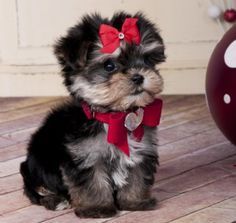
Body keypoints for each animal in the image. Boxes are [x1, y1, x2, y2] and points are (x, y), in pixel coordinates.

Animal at [20, 11, 166, 218]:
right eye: (109, 66)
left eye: (146, 60)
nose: (138, 76)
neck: (114, 116)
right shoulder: (86, 156)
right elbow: (92, 183)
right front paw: (96, 209)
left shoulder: (141, 148)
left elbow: (137, 176)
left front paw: (136, 202)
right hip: (38, 160)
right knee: (36, 189)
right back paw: (56, 200)